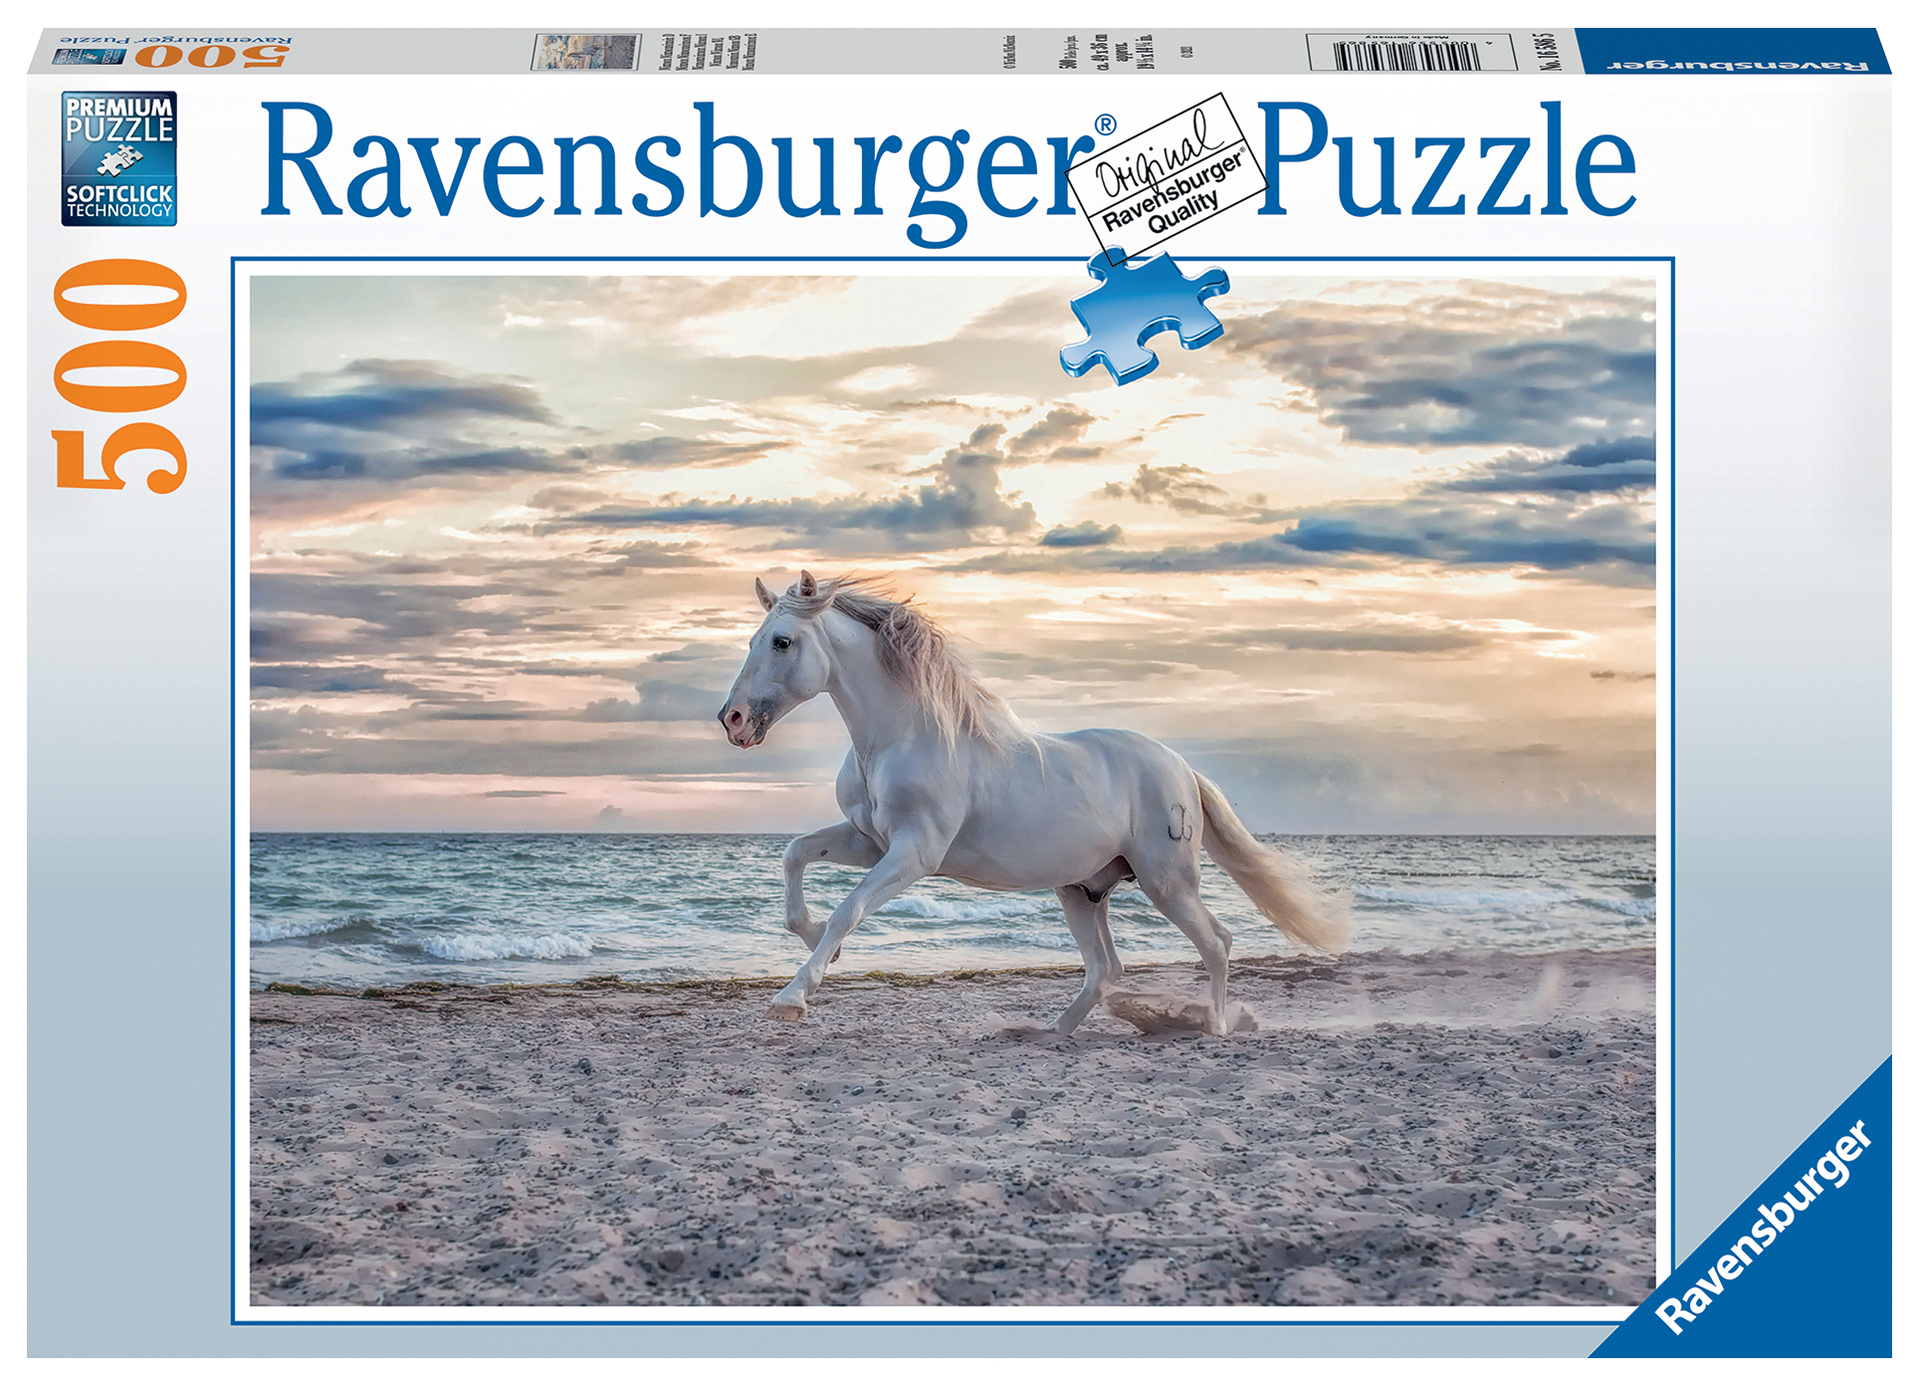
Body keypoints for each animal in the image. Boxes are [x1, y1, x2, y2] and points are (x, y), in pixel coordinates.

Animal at [716, 571, 1349, 1036]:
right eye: (750, 641)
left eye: (781, 641)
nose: (733, 721)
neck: (903, 737)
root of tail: (1181, 769)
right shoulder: (868, 841)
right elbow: (796, 857)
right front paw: (815, 943)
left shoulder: (914, 853)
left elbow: (849, 909)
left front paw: (793, 997)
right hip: (1082, 890)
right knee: (1106, 969)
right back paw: (1049, 1032)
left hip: (1166, 881)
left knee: (1216, 942)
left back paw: (1214, 1028)